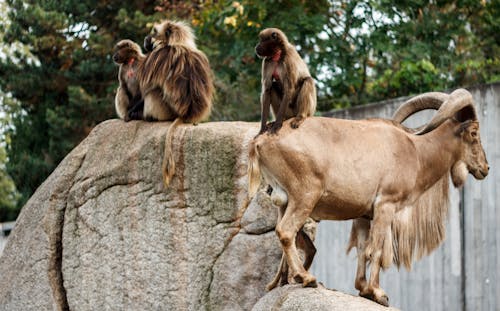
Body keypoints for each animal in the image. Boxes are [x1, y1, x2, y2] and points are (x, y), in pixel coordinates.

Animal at [248, 88, 490, 308]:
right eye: (474, 133)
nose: (485, 168)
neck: (416, 152)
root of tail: (260, 141)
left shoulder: (363, 215)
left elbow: (363, 249)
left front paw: (363, 288)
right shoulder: (386, 205)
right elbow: (378, 250)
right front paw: (378, 292)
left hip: (283, 200)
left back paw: (280, 282)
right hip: (305, 196)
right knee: (286, 231)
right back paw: (305, 278)